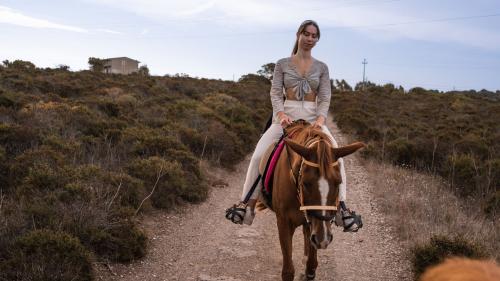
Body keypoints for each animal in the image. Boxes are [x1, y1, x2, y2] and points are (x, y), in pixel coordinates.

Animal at [264, 121, 366, 280]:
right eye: (305, 183)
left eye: (339, 182)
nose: (323, 239)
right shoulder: (283, 223)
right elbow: (288, 271)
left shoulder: (313, 225)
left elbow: (312, 265)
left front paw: (308, 268)